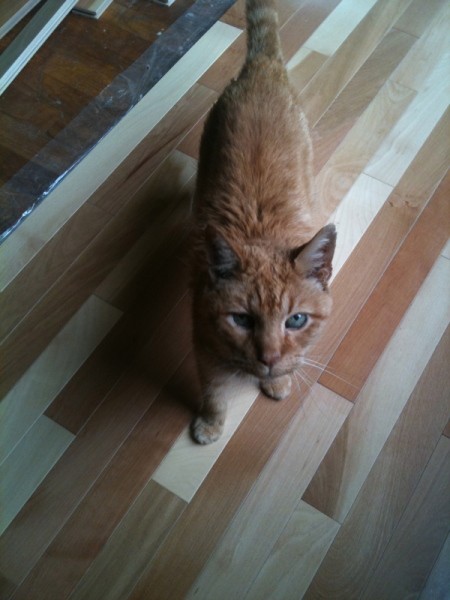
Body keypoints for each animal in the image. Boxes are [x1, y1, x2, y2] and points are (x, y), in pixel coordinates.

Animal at [189, 0, 334, 442]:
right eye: (241, 319)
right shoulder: (203, 342)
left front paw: (279, 379)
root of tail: (263, 67)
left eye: (297, 319)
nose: (269, 357)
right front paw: (211, 422)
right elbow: (214, 391)